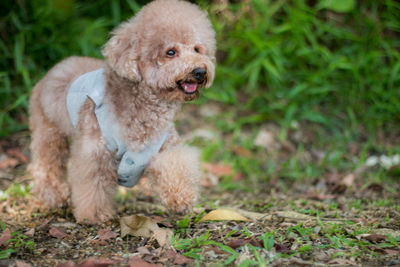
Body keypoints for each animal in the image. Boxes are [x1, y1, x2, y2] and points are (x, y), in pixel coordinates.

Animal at [28, 0, 216, 225]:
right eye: (170, 52)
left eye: (197, 49)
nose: (200, 71)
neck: (145, 105)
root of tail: (53, 69)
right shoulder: (95, 152)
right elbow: (92, 184)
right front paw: (94, 215)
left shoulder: (164, 147)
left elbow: (175, 164)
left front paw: (181, 198)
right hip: (48, 130)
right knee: (45, 165)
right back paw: (55, 195)